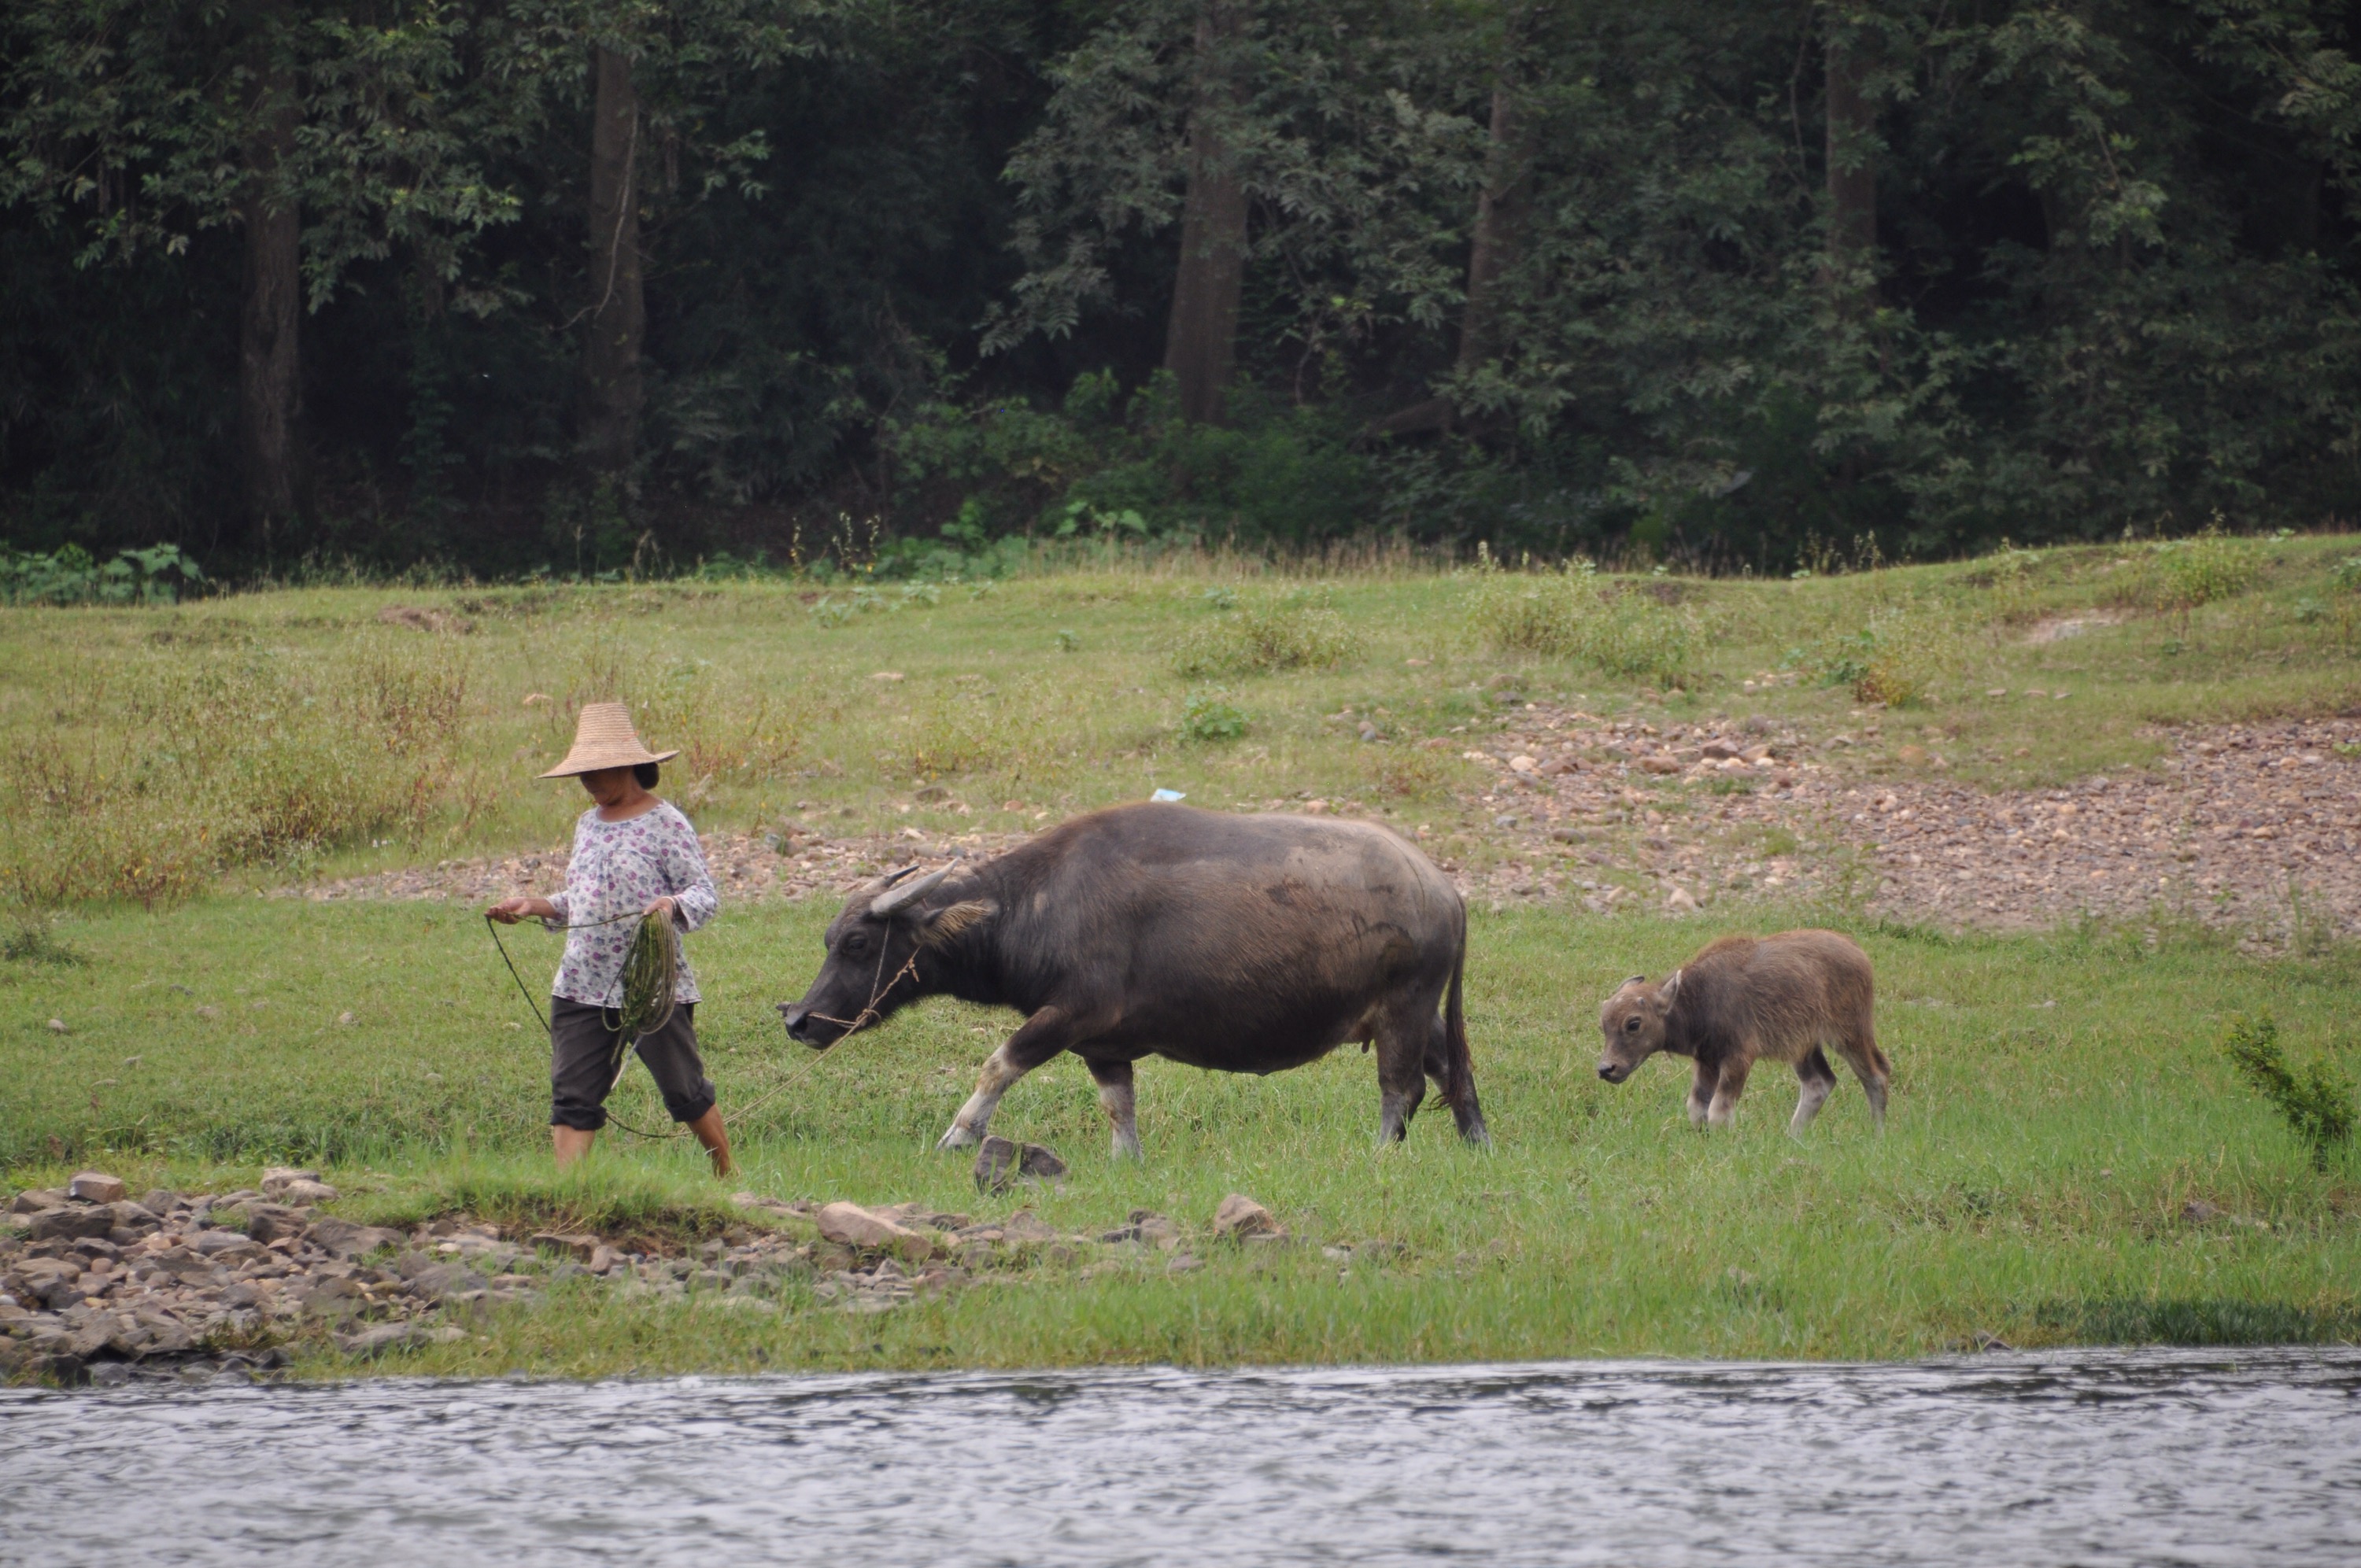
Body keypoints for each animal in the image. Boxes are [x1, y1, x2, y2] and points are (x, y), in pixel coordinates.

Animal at [778, 803, 1487, 1154]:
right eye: (828, 939)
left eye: (859, 942)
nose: (798, 1019)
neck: (1040, 904)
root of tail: (1445, 890)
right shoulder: (1103, 1046)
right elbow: (1119, 1107)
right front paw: (1126, 1160)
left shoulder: (1070, 1015)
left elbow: (998, 1064)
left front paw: (957, 1135)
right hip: (1419, 1013)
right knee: (1454, 1076)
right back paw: (1478, 1146)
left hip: (1403, 1005)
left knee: (1401, 1088)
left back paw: (1380, 1153)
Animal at [1595, 929, 1889, 1133]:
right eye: (1603, 1023)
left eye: (1634, 1023)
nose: (1606, 1069)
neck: (1697, 997)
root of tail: (1857, 952)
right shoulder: (1707, 1061)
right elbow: (1697, 1108)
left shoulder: (1738, 1060)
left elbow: (1719, 1111)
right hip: (1804, 1048)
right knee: (1819, 1083)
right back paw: (1792, 1136)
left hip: (1850, 1035)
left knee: (1876, 1074)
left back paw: (1877, 1134)